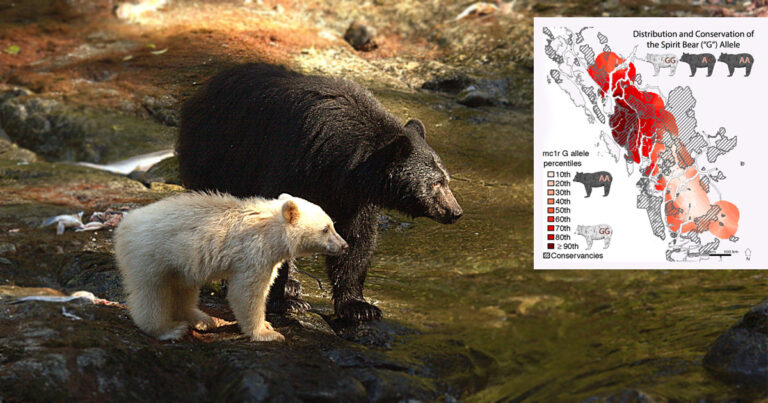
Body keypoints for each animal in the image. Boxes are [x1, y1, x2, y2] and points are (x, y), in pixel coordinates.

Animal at [115, 192, 348, 341]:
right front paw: (267, 333)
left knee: (183, 287)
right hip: (150, 255)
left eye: (332, 224)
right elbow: (246, 292)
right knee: (151, 293)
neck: (270, 228)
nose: (344, 245)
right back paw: (168, 329)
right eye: (326, 228)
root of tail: (123, 226)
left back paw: (201, 319)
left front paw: (268, 325)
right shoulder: (254, 252)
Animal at [177, 63, 463, 322]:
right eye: (436, 183)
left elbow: (357, 239)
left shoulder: (353, 197)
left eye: (446, 179)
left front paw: (359, 307)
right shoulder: (292, 163)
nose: (455, 211)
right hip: (218, 158)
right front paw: (284, 302)